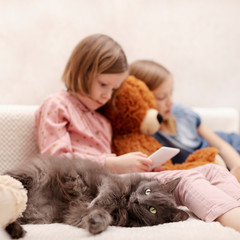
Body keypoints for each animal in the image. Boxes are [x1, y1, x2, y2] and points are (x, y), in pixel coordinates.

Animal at [4, 156, 188, 238]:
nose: (136, 200)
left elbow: (102, 215)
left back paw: (17, 231)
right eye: (147, 191)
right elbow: (108, 195)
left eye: (152, 209)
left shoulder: (74, 214)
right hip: (27, 177)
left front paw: (95, 222)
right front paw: (94, 204)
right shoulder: (108, 180)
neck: (124, 204)